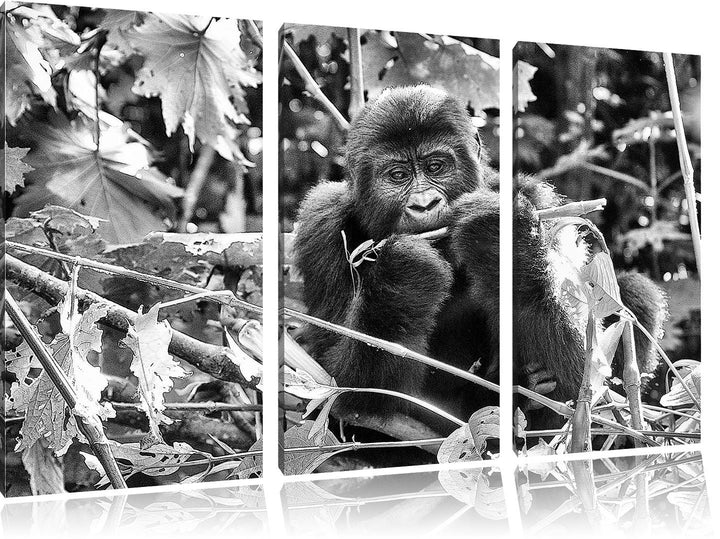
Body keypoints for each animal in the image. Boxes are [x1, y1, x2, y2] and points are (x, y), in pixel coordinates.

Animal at [291, 84, 666, 430]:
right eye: (398, 176)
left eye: (436, 166)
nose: (425, 204)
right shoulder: (321, 221)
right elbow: (334, 388)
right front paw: (400, 282)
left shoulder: (535, 200)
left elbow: (583, 388)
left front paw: (502, 242)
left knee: (631, 293)